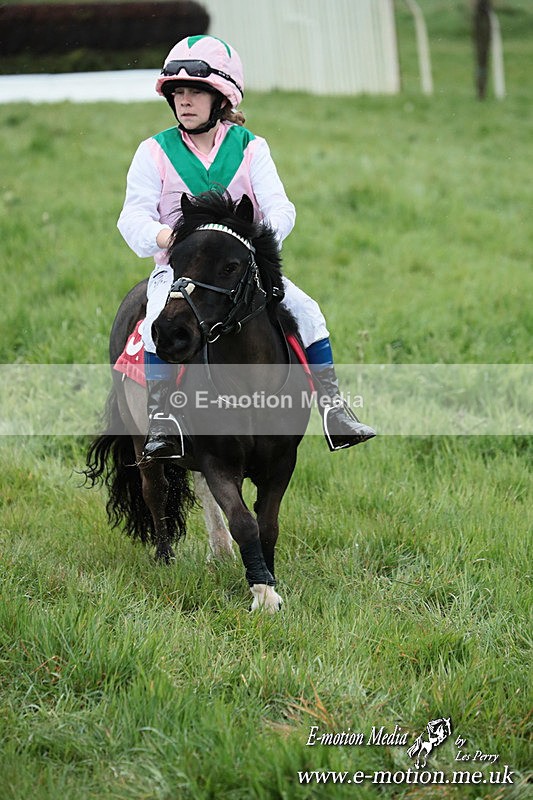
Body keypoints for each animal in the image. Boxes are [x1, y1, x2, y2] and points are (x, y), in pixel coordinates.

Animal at [84, 191, 312, 612]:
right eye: (175, 261)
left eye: (231, 266)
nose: (171, 334)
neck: (250, 388)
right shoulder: (218, 459)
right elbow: (244, 521)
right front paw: (262, 593)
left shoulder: (281, 462)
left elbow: (267, 524)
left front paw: (269, 580)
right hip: (141, 440)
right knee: (155, 491)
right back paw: (165, 559)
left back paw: (220, 551)